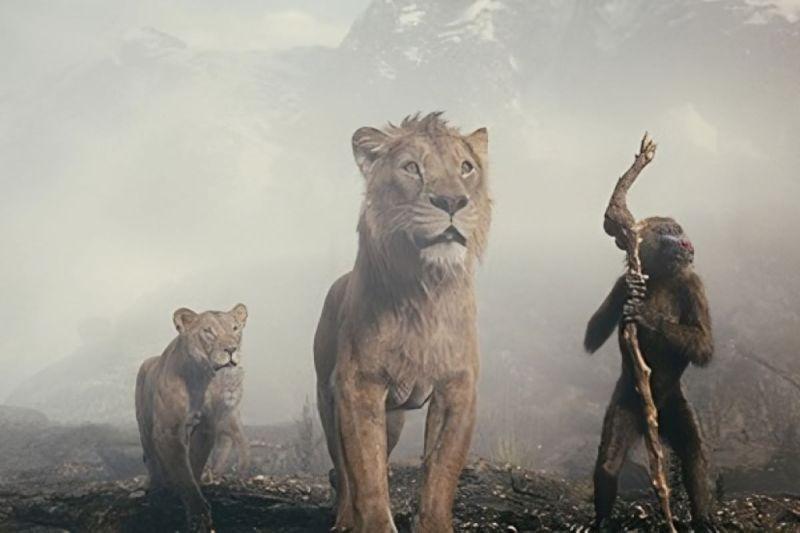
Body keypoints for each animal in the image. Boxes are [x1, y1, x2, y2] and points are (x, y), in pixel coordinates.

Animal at [135, 303, 248, 532]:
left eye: (235, 328)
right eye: (208, 331)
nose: (231, 349)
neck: (198, 379)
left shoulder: (206, 429)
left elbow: (193, 466)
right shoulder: (168, 432)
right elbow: (182, 472)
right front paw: (198, 516)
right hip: (144, 428)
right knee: (152, 460)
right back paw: (158, 491)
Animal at [314, 112, 491, 533]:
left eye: (466, 167)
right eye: (412, 168)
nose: (452, 201)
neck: (426, 291)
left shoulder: (458, 388)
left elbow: (442, 468)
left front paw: (433, 524)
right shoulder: (359, 386)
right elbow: (366, 472)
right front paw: (374, 523)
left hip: (392, 418)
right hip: (328, 399)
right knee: (344, 470)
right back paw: (344, 518)